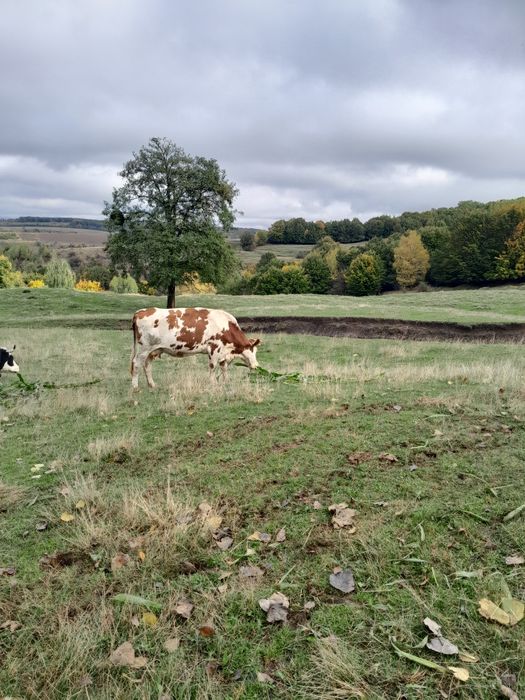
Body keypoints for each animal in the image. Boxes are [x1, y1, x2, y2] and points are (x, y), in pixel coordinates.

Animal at [130, 307, 260, 389]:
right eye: (252, 350)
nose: (256, 366)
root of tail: (140, 312)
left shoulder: (223, 352)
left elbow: (224, 367)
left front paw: (225, 381)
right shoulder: (214, 348)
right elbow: (213, 367)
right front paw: (212, 383)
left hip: (152, 350)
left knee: (147, 365)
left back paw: (152, 385)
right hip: (144, 349)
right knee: (136, 364)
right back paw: (135, 387)